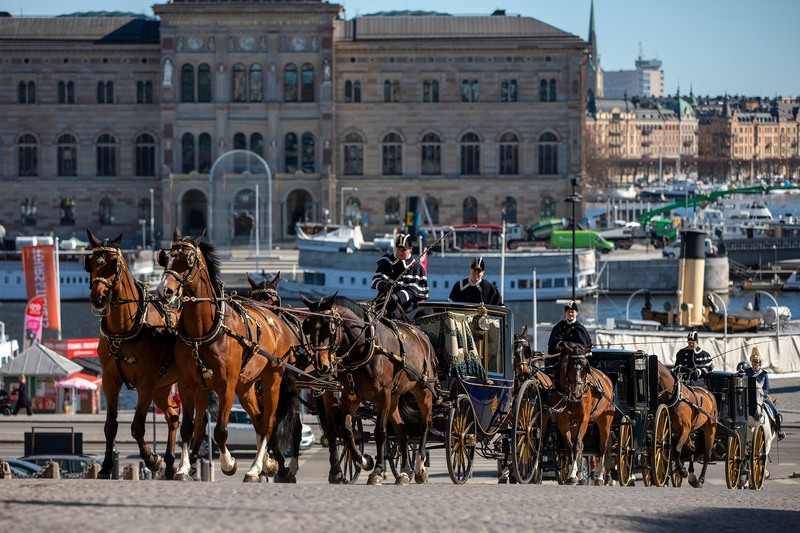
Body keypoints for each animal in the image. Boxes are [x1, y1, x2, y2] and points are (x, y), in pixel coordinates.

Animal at [83, 229, 180, 478]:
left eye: (114, 263)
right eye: (91, 263)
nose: (98, 298)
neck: (125, 329)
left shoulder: (146, 383)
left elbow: (137, 426)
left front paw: (152, 459)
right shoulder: (110, 381)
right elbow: (111, 426)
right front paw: (106, 466)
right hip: (162, 387)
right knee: (173, 414)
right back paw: (171, 463)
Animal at [155, 230, 296, 482]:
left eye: (189, 260)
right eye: (166, 258)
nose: (165, 291)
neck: (203, 330)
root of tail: (276, 318)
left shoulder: (226, 385)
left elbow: (220, 430)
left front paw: (229, 463)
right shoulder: (188, 384)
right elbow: (188, 428)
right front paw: (183, 468)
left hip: (272, 379)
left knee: (268, 423)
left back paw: (254, 468)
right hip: (246, 385)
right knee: (258, 420)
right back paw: (263, 465)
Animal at [300, 294, 438, 484]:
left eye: (331, 327)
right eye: (309, 327)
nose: (323, 366)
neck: (363, 349)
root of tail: (423, 337)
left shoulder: (382, 395)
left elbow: (380, 433)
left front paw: (377, 471)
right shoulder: (350, 396)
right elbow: (347, 431)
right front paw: (364, 461)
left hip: (423, 391)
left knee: (425, 423)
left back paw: (420, 466)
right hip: (394, 398)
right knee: (402, 430)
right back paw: (403, 472)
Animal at [552, 342, 616, 484]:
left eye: (585, 369)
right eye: (569, 366)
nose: (578, 393)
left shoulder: (584, 419)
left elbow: (576, 445)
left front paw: (573, 474)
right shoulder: (562, 421)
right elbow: (570, 446)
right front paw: (572, 474)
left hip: (605, 422)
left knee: (602, 447)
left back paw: (599, 477)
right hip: (574, 424)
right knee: (581, 444)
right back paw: (580, 473)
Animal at [656, 360, 720, 488]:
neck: (676, 396)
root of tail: (709, 394)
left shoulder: (684, 429)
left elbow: (676, 450)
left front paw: (681, 471)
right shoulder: (673, 430)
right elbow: (672, 451)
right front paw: (678, 472)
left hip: (710, 431)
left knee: (706, 455)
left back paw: (700, 479)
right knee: (692, 448)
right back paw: (691, 475)